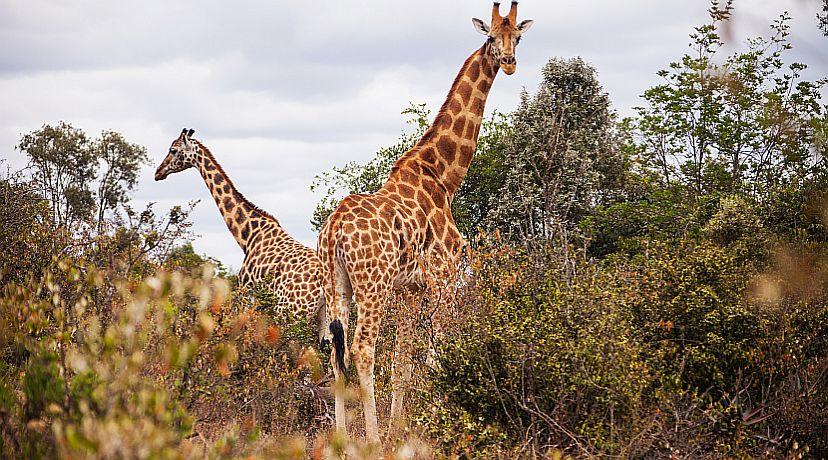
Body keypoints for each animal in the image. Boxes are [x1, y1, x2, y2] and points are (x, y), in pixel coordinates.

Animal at [155, 129, 326, 339]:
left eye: (173, 150)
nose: (158, 172)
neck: (247, 235)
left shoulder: (246, 292)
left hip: (290, 312)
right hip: (324, 316)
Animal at [317, 2, 533, 446]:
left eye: (518, 37)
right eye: (491, 37)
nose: (508, 63)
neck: (444, 175)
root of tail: (332, 233)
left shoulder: (410, 288)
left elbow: (403, 358)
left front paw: (401, 423)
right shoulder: (443, 278)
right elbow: (436, 356)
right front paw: (434, 420)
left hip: (338, 285)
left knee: (335, 352)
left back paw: (343, 439)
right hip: (372, 285)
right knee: (363, 348)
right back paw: (372, 440)